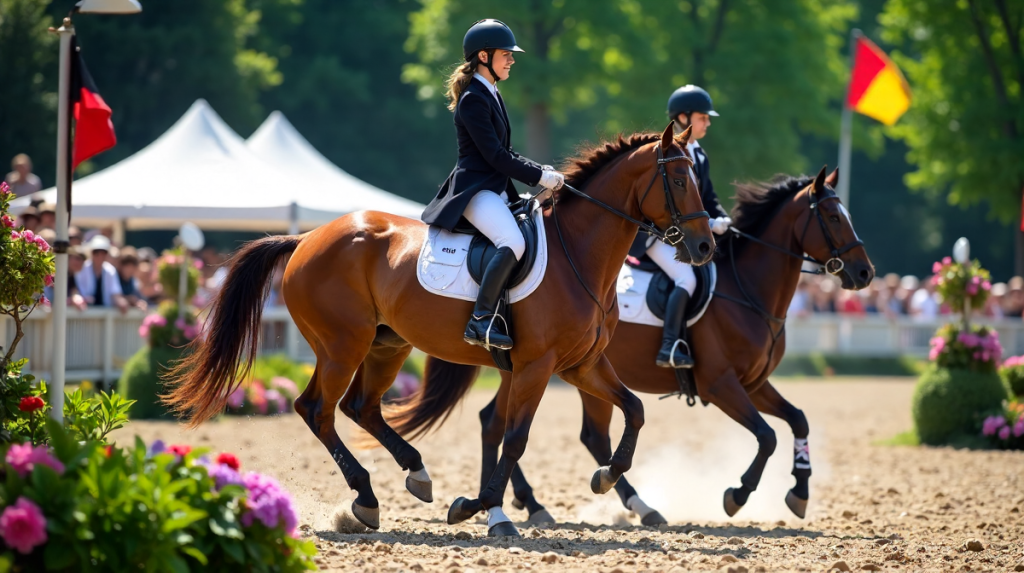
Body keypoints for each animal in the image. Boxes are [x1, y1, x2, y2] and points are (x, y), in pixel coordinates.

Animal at [163, 123, 715, 537]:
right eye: (679, 180)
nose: (706, 247)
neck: (577, 253)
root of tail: (307, 238)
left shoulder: (581, 364)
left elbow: (635, 410)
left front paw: (604, 479)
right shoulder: (537, 366)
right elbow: (515, 438)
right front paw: (481, 507)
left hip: (386, 346)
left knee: (360, 407)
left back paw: (413, 475)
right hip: (343, 345)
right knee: (317, 409)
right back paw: (366, 497)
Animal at [391, 167, 874, 526]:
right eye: (834, 218)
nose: (866, 273)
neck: (746, 291)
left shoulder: (753, 383)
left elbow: (798, 420)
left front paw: (799, 492)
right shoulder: (721, 385)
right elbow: (768, 435)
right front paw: (737, 495)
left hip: (534, 367)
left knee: (510, 423)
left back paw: (548, 503)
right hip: (541, 367)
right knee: (530, 427)